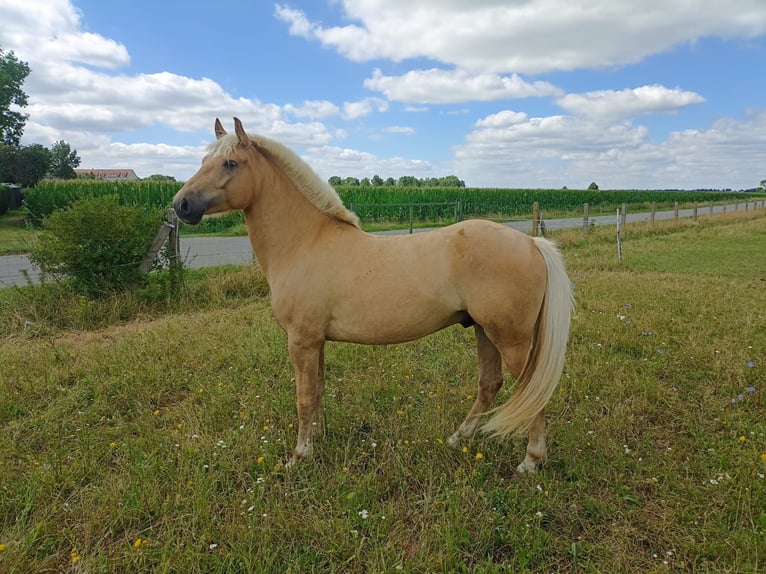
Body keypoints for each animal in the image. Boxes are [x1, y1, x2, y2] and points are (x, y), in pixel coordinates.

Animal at [171, 119, 572, 474]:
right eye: (203, 160)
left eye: (230, 163)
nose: (181, 205)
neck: (306, 242)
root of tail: (530, 242)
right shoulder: (316, 340)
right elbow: (317, 391)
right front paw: (316, 443)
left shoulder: (301, 340)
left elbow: (304, 397)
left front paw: (298, 456)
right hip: (483, 330)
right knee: (490, 383)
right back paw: (459, 438)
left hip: (510, 338)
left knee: (531, 389)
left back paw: (530, 461)